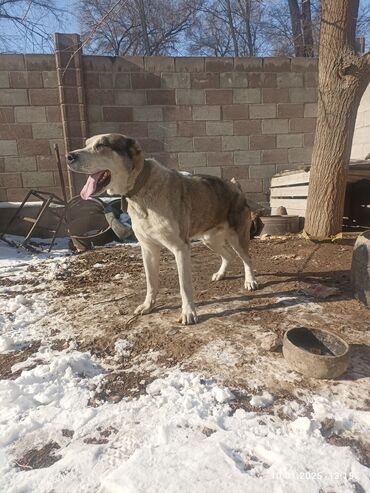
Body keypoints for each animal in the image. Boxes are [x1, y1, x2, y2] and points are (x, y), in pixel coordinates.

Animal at [67, 135, 258, 324]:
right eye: (86, 144)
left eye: (101, 145)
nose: (69, 156)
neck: (141, 188)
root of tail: (236, 186)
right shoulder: (148, 249)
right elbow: (151, 282)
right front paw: (148, 306)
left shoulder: (181, 248)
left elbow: (184, 286)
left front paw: (188, 313)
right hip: (209, 239)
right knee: (228, 254)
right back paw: (221, 274)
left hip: (237, 238)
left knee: (247, 258)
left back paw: (250, 281)